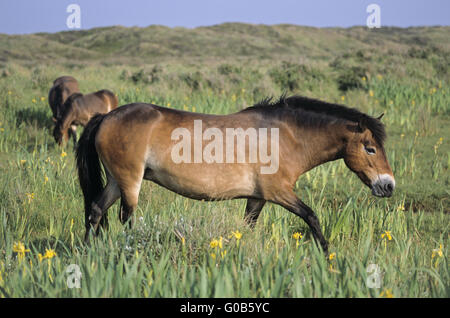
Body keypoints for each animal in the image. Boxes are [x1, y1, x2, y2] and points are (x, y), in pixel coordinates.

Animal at [76, 94, 394, 253]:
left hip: (116, 181)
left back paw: (88, 251)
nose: (388, 186)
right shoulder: (279, 192)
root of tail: (105, 117)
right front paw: (327, 254)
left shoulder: (258, 197)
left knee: (95, 211)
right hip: (130, 182)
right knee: (127, 219)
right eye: (370, 149)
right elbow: (311, 216)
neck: (286, 136)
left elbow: (247, 227)